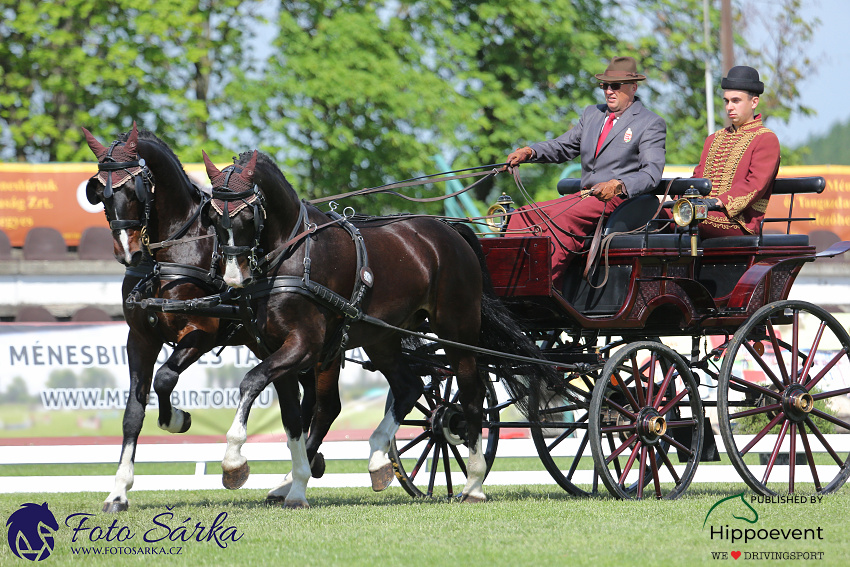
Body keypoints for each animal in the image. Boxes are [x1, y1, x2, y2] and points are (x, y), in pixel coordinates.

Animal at [80, 126, 332, 512]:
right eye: (100, 191)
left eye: (134, 188)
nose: (129, 253)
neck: (174, 252)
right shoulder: (139, 338)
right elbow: (133, 412)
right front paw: (119, 491)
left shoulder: (202, 332)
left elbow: (165, 378)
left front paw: (176, 419)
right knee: (304, 403)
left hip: (320, 352)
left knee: (326, 406)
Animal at [202, 150, 552, 506]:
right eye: (213, 218)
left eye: (247, 216)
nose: (232, 280)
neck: (293, 254)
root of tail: (450, 230)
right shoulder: (275, 349)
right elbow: (291, 419)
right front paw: (296, 485)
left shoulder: (305, 346)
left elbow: (251, 382)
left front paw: (233, 461)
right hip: (381, 337)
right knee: (409, 386)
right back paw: (378, 458)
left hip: (457, 330)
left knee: (471, 394)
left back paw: (474, 483)